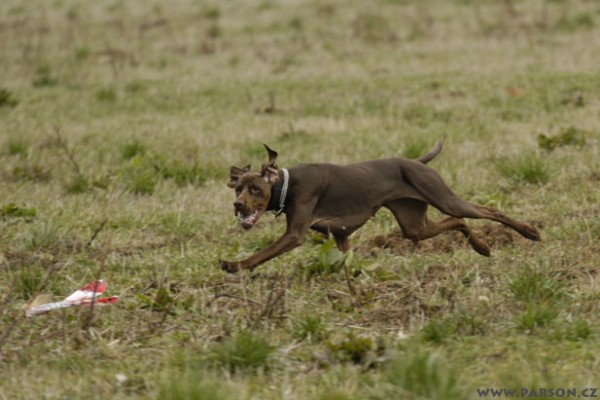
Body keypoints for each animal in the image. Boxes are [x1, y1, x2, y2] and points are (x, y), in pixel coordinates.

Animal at [219, 139, 540, 274]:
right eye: (237, 187)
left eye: (255, 189)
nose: (237, 204)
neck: (287, 183)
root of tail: (416, 162)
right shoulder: (340, 235)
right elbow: (346, 262)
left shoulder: (295, 234)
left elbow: (261, 254)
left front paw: (234, 266)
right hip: (414, 225)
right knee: (457, 223)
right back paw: (481, 247)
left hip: (446, 200)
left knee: (488, 211)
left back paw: (529, 232)